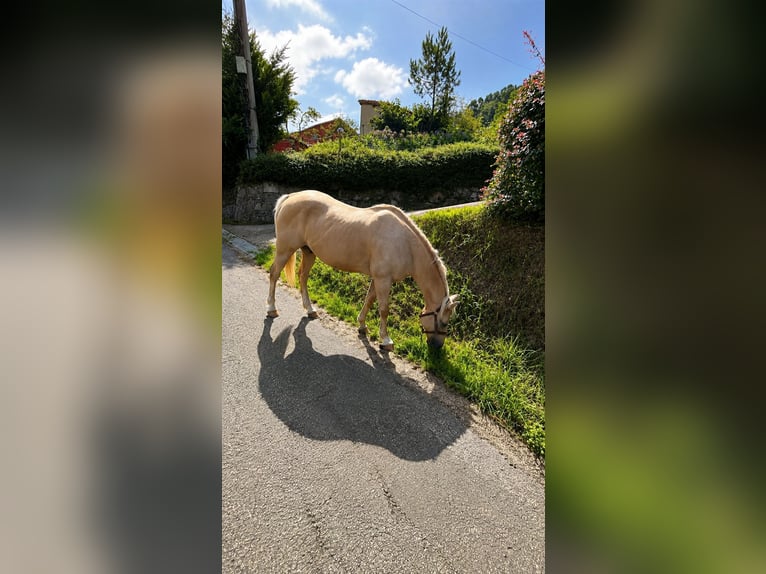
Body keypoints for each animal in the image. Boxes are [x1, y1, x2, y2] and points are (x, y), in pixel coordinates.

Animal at [266, 190, 460, 350]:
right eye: (443, 322)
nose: (437, 348)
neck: (404, 243)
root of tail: (290, 197)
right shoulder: (383, 279)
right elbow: (384, 309)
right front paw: (386, 340)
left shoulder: (377, 278)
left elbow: (369, 300)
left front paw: (362, 326)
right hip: (285, 250)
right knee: (274, 274)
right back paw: (271, 309)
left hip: (309, 252)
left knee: (303, 277)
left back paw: (310, 309)